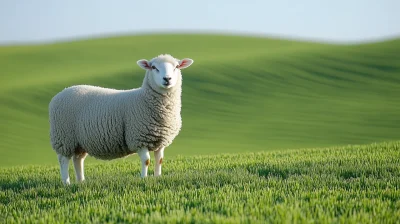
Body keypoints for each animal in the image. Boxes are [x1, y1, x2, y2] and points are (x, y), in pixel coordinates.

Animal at [50, 53, 194, 184]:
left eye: (176, 67)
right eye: (153, 67)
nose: (167, 79)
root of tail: (59, 94)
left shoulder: (160, 141)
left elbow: (159, 160)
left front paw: (157, 177)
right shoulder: (139, 138)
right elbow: (146, 161)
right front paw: (143, 178)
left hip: (78, 142)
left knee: (78, 159)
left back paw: (81, 181)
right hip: (63, 138)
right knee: (63, 160)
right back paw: (66, 183)